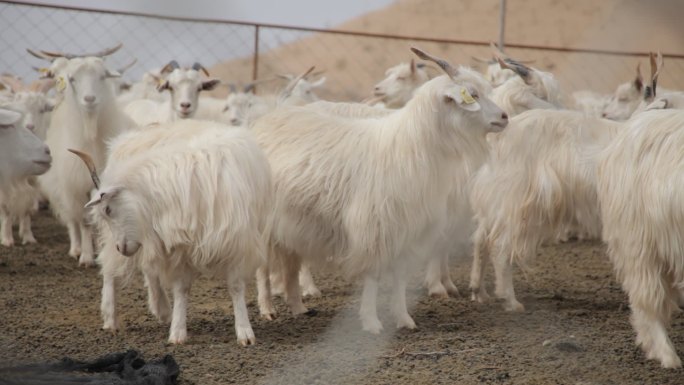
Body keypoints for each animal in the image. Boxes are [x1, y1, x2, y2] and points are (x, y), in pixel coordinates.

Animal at [251, 47, 508, 330]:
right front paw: (371, 321)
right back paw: (267, 308)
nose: (504, 117)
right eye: (473, 94)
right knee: (263, 269)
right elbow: (373, 276)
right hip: (265, 223)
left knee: (291, 263)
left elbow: (400, 276)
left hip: (292, 224)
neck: (412, 146)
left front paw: (404, 318)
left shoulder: (408, 227)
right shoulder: (374, 227)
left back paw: (298, 307)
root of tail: (270, 117)